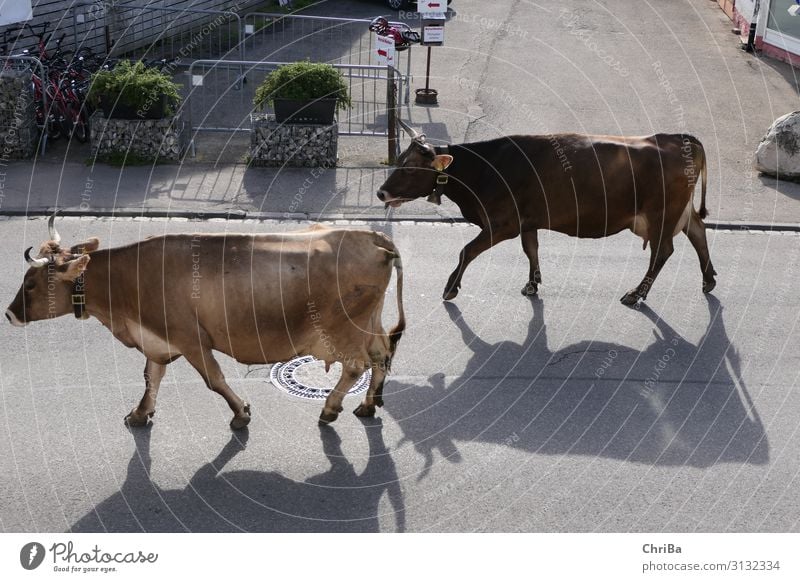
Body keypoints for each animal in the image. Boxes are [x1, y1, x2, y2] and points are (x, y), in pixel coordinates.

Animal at [6, 219, 406, 428]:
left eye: (31, 283)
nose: (9, 314)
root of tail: (374, 236)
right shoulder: (158, 338)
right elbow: (151, 377)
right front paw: (140, 413)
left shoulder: (190, 338)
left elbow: (214, 380)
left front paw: (241, 413)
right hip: (369, 320)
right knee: (381, 354)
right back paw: (369, 405)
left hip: (342, 327)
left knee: (355, 365)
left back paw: (330, 408)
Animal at [378, 130, 716, 308]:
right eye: (400, 161)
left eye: (409, 168)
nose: (381, 192)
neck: (485, 169)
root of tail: (677, 137)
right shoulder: (528, 222)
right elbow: (532, 250)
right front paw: (532, 283)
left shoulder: (503, 223)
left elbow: (467, 251)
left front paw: (450, 288)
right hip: (678, 212)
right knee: (698, 231)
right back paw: (708, 279)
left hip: (661, 214)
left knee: (663, 251)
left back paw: (636, 294)